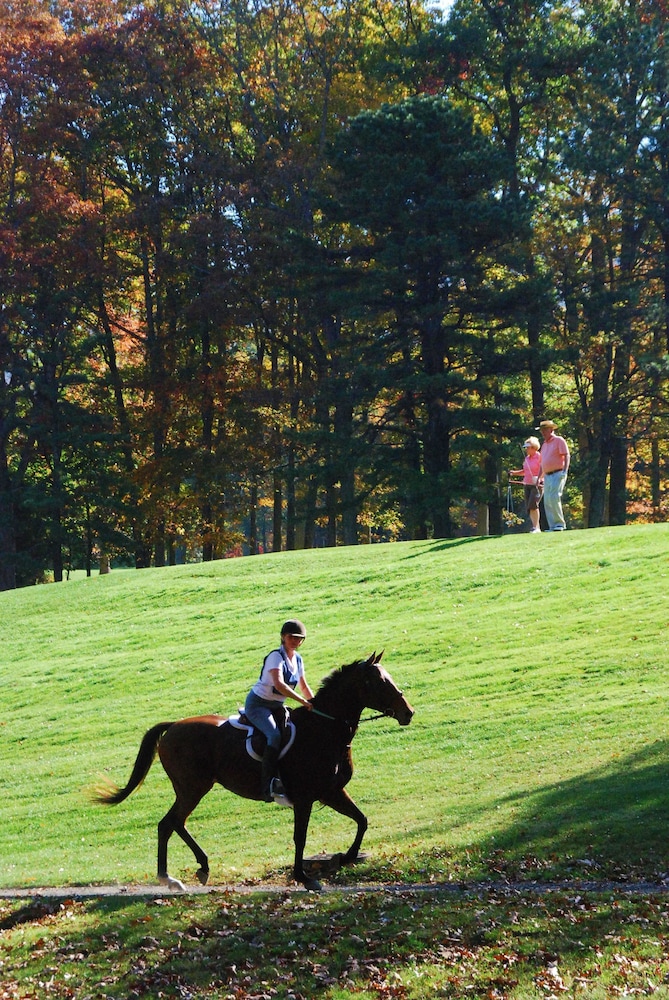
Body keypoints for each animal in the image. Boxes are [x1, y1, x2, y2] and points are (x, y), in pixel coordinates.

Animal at [95, 656, 412, 892]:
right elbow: (300, 837)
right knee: (168, 824)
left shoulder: (331, 792)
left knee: (175, 823)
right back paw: (169, 877)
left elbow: (362, 820)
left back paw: (200, 867)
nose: (407, 712)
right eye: (378, 682)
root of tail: (173, 726)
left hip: (194, 788)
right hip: (192, 787)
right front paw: (304, 877)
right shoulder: (306, 798)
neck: (323, 730)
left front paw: (346, 857)